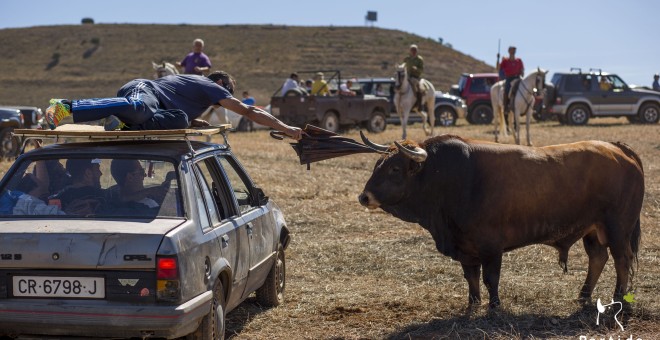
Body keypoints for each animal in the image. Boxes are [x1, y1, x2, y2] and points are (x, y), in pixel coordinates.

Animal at [358, 133, 640, 308]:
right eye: (376, 165)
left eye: (395, 168)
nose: (364, 197)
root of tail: (616, 147)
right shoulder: (466, 247)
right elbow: (471, 277)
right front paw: (473, 303)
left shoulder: (490, 246)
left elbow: (490, 278)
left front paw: (494, 306)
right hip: (592, 230)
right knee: (598, 258)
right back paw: (583, 296)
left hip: (617, 228)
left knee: (621, 260)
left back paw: (619, 298)